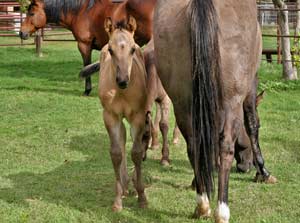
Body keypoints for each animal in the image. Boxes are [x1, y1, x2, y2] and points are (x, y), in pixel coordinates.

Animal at [19, 0, 155, 95]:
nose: (21, 33)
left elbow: (86, 64)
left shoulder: (84, 45)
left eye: (31, 13)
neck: (80, 12)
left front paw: (87, 90)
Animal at [98, 16, 150, 212]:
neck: (122, 92)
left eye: (132, 49)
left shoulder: (138, 116)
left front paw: (142, 197)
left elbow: (136, 152)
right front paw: (117, 199)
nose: (122, 81)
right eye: (111, 50)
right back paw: (126, 184)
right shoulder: (110, 116)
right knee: (121, 141)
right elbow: (116, 153)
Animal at [154, 0, 278, 223]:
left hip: (182, 103)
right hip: (231, 102)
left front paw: (200, 176)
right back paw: (222, 210)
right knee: (226, 146)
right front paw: (263, 171)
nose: (244, 167)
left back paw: (202, 204)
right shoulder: (250, 84)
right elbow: (252, 123)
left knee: (194, 146)